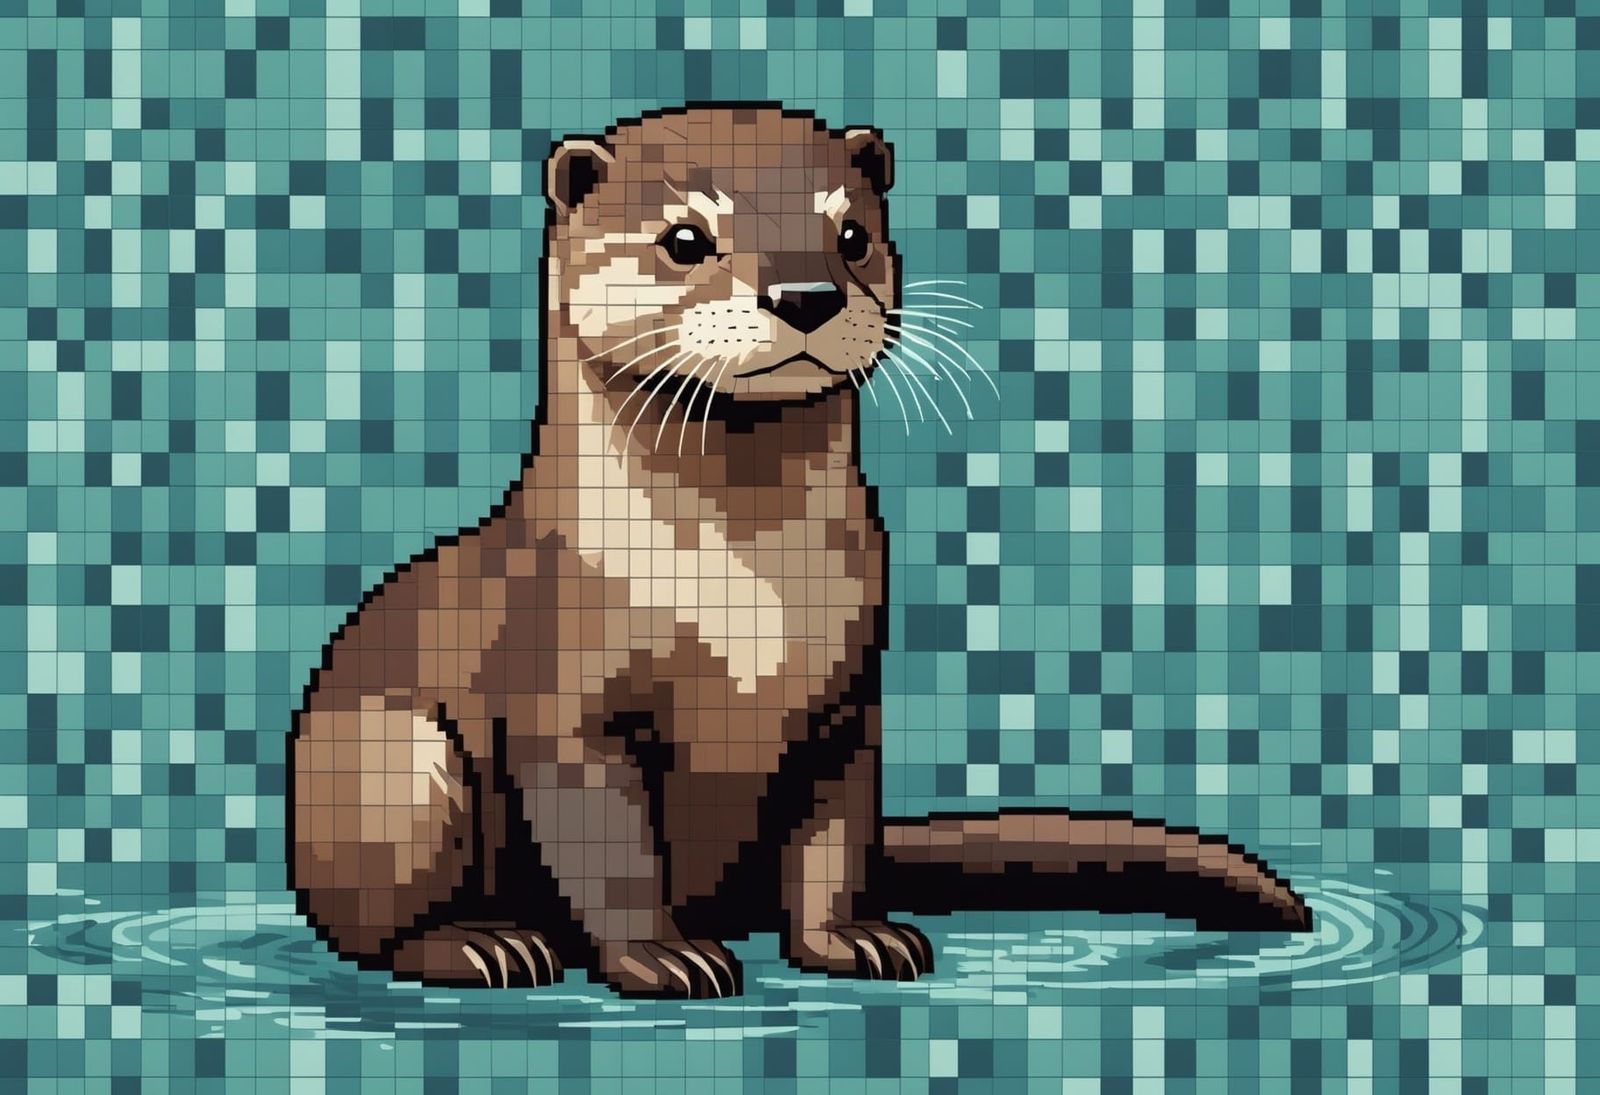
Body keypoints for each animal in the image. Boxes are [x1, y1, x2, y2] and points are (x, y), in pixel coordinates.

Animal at [288, 104, 1310, 998]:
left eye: (850, 234)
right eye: (685, 238)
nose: (807, 293)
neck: (740, 593)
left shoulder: (846, 701)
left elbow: (832, 840)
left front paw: (852, 938)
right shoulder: (563, 692)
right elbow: (608, 848)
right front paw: (661, 957)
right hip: (389, 764)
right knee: (369, 922)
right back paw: (482, 943)